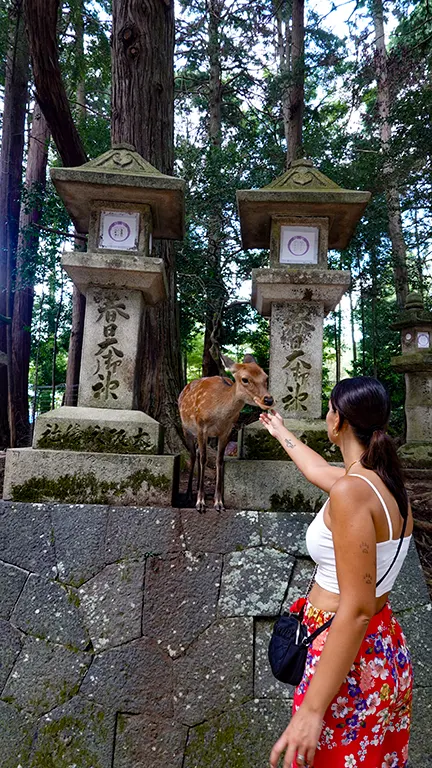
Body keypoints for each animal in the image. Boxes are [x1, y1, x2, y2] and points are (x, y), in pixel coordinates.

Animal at [178, 354, 274, 512]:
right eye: (245, 379)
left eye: (265, 377)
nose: (268, 399)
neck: (219, 414)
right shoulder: (201, 427)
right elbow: (204, 459)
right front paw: (200, 503)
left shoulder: (227, 431)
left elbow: (219, 460)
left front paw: (219, 502)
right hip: (187, 429)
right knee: (193, 455)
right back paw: (189, 494)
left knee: (197, 453)